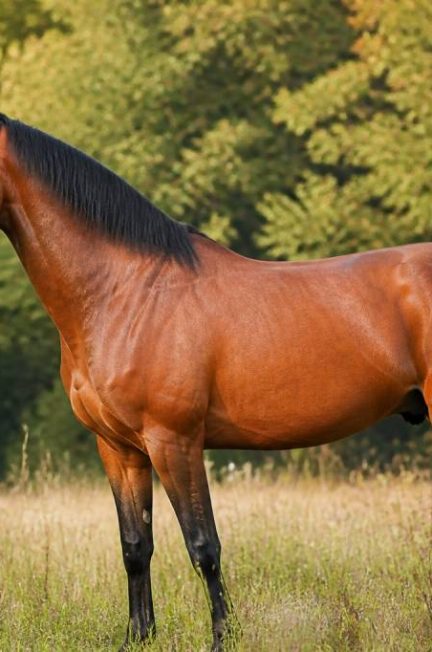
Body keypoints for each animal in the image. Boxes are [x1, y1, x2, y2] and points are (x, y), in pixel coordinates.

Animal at [0, 113, 429, 651]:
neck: (125, 292)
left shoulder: (174, 442)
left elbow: (203, 546)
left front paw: (224, 638)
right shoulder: (118, 448)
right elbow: (135, 546)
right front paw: (139, 637)